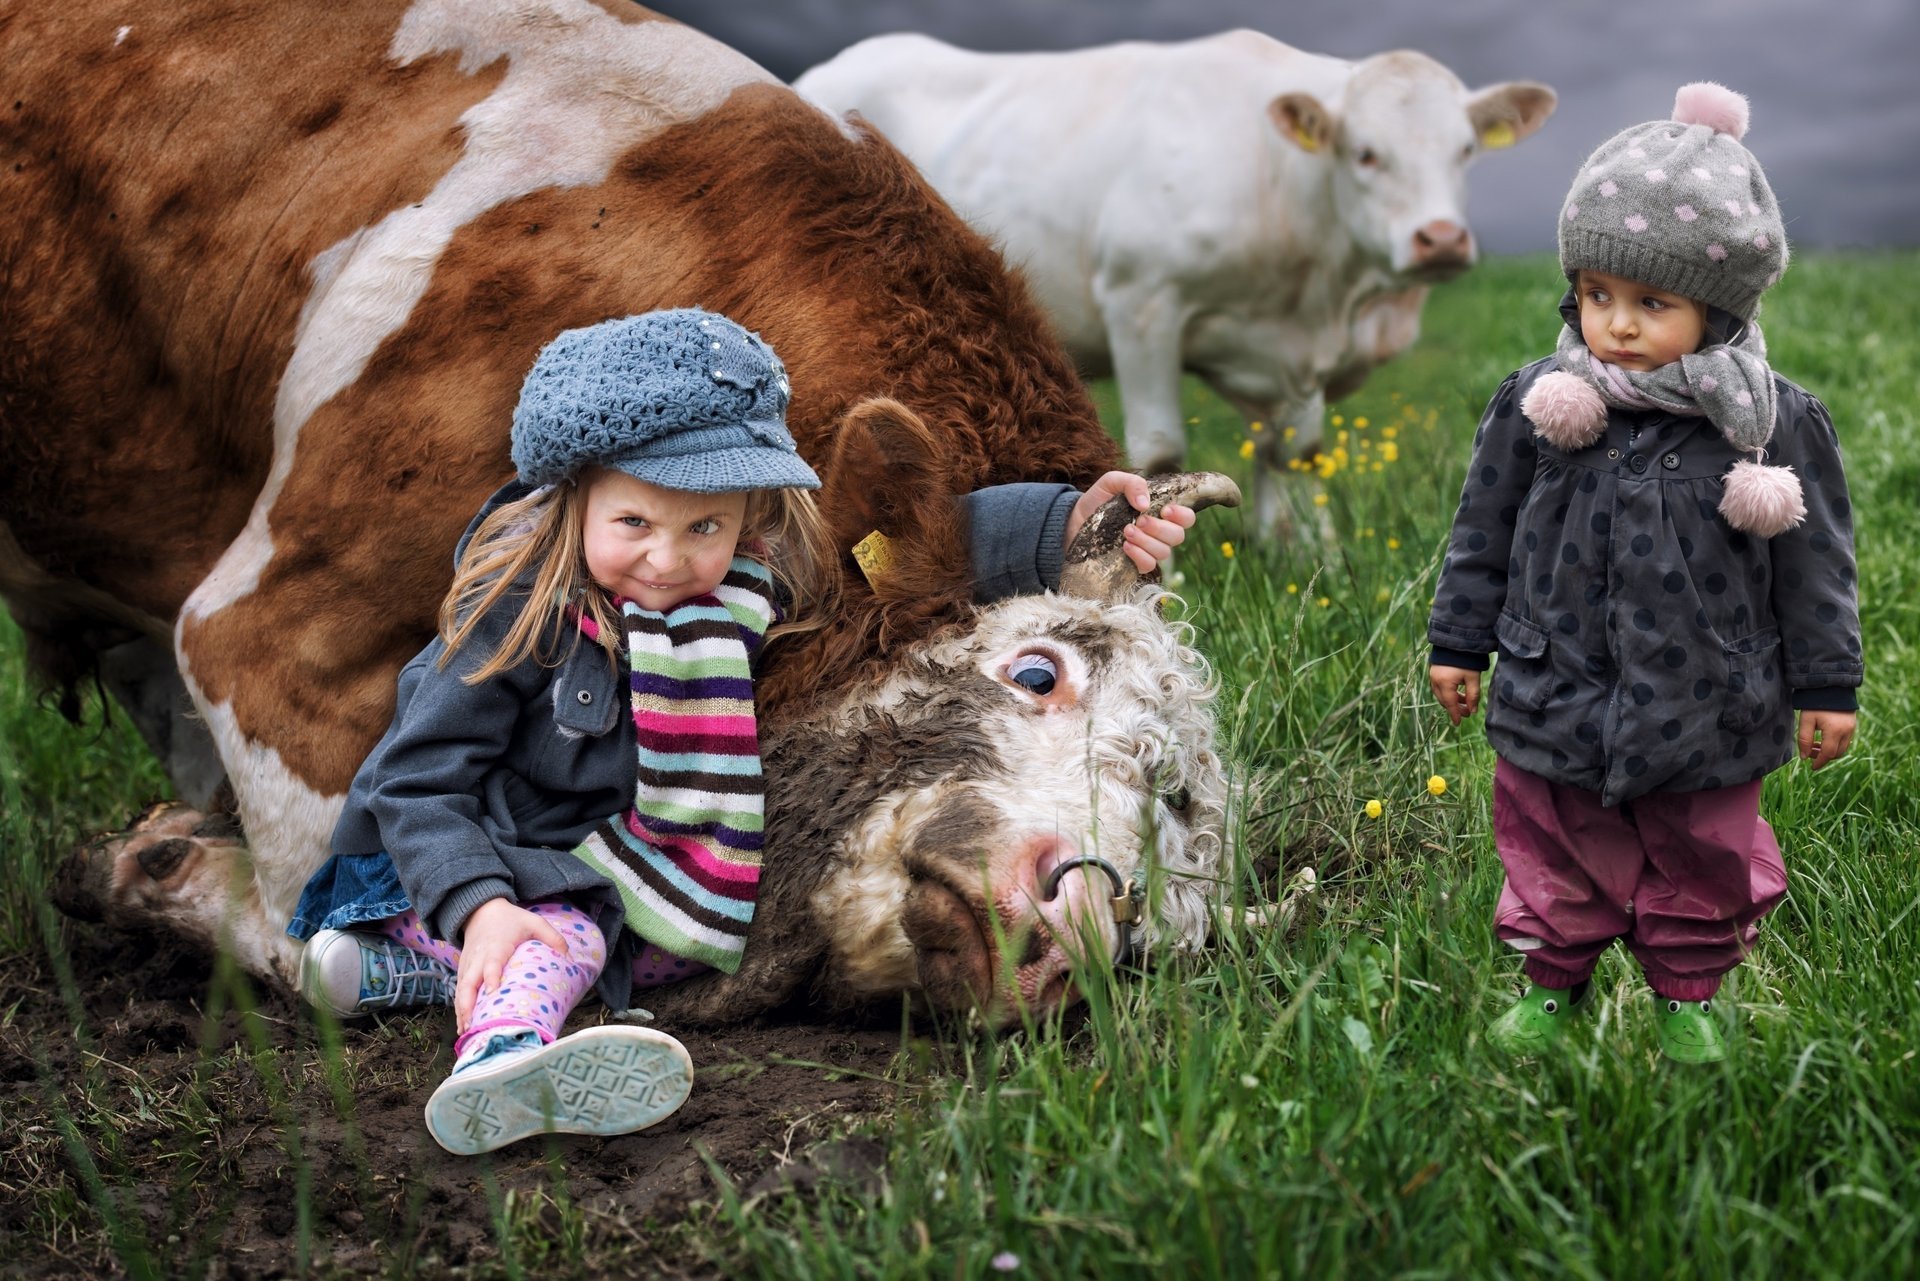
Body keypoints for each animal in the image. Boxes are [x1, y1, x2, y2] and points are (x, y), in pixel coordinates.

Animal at [7, 0, 1236, 1021]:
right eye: (1035, 671)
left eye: (1172, 835)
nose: (1079, 924)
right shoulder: (267, 636)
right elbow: (326, 937)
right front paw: (147, 867)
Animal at [794, 33, 1559, 537]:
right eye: (1366, 153)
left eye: (1465, 150)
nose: (1441, 238)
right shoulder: (1143, 303)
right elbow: (1161, 453)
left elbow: (1296, 453)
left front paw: (1305, 555)